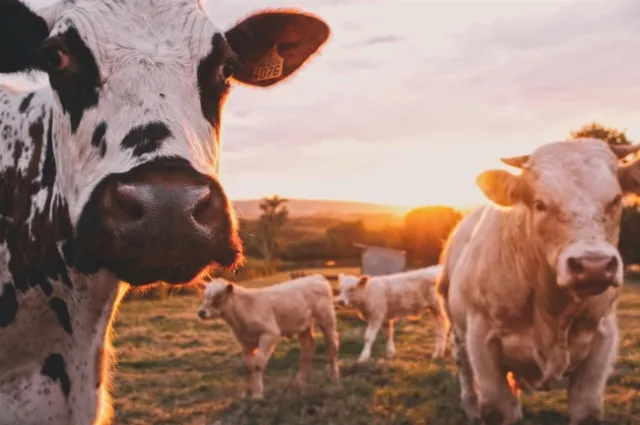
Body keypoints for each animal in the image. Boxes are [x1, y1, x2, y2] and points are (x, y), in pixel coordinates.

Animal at [196, 275, 340, 400]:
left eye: (219, 295)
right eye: (205, 295)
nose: (201, 312)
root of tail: (316, 277)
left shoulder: (269, 334)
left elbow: (258, 364)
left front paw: (257, 394)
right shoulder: (245, 342)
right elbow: (247, 366)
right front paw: (246, 394)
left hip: (327, 319)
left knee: (332, 345)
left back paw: (334, 377)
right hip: (303, 326)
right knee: (308, 348)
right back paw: (299, 382)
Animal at [436, 139, 640, 425]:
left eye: (615, 199)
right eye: (540, 204)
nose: (594, 266)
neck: (552, 310)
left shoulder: (602, 340)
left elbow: (586, 409)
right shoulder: (482, 341)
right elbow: (497, 408)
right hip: (455, 324)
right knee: (462, 364)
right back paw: (470, 406)